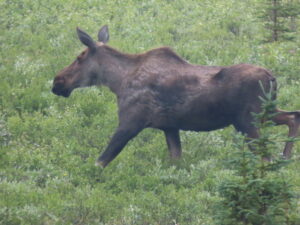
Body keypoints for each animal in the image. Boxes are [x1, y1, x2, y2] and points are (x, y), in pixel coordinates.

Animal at [52, 25, 300, 168]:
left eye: (79, 57)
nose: (57, 81)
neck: (118, 81)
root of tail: (272, 76)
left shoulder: (130, 122)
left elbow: (100, 162)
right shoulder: (170, 127)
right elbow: (175, 161)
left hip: (248, 120)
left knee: (266, 155)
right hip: (265, 112)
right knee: (293, 116)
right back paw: (286, 159)